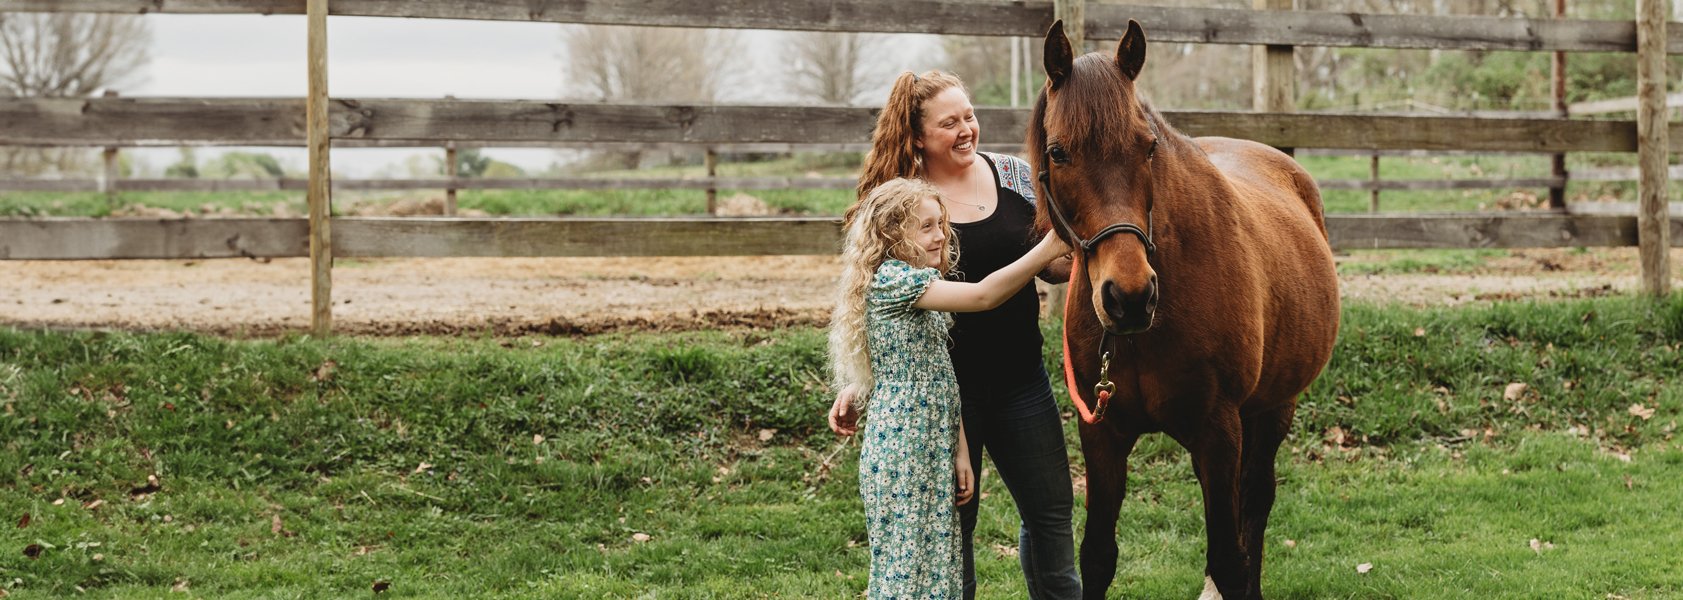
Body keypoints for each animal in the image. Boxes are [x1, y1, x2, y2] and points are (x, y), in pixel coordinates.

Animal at [1023, 18, 1339, 598]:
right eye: (1057, 153)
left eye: (1148, 146)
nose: (1129, 297)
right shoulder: (1101, 434)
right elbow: (1097, 556)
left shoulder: (1218, 433)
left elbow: (1229, 557)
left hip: (1273, 408)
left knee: (1256, 500)